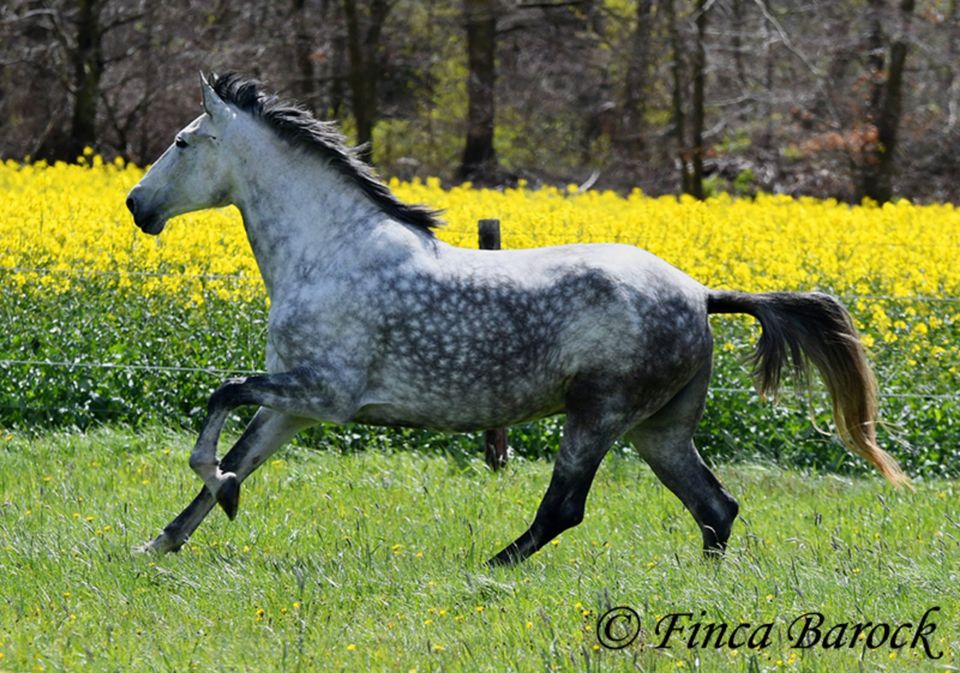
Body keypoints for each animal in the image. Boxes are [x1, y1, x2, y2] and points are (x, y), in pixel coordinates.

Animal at [124, 75, 904, 568]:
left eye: (184, 142)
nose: (137, 206)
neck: (332, 252)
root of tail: (699, 293)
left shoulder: (325, 393)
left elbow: (222, 397)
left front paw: (215, 489)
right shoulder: (295, 404)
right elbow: (239, 456)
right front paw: (161, 541)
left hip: (597, 415)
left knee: (566, 508)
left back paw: (490, 564)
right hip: (660, 430)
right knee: (717, 505)